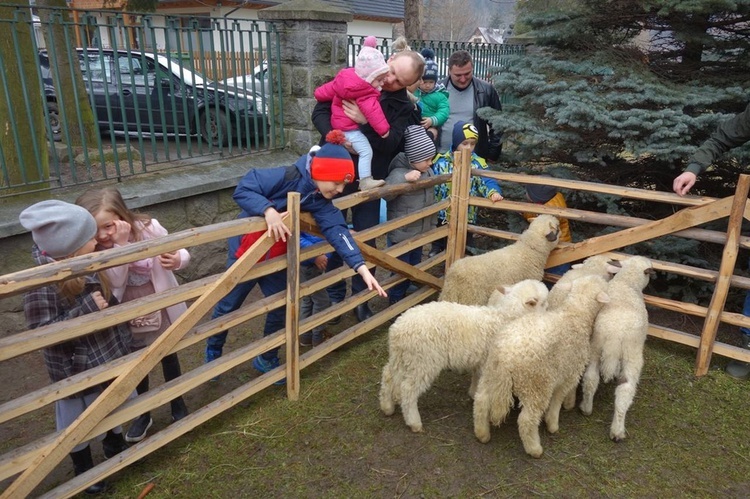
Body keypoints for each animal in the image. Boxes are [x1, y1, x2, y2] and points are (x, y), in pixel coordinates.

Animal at [382, 282, 552, 434]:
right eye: (543, 303)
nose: (550, 309)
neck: (503, 319)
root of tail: (397, 331)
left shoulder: (481, 362)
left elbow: (476, 378)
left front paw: (473, 393)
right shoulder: (489, 364)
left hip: (402, 358)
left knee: (388, 375)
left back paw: (387, 407)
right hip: (423, 361)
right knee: (408, 389)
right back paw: (414, 422)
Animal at [476, 276, 612, 458]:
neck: (575, 314)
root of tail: (505, 356)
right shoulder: (569, 372)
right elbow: (558, 398)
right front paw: (554, 422)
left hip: (490, 373)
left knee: (481, 400)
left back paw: (482, 434)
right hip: (536, 384)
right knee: (527, 420)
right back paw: (534, 449)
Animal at [580, 256, 656, 444]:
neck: (626, 282)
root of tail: (615, 335)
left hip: (595, 348)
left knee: (590, 379)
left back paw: (586, 408)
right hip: (632, 356)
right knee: (625, 391)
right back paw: (617, 431)